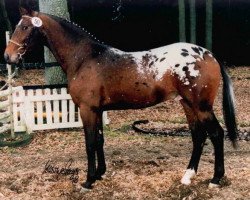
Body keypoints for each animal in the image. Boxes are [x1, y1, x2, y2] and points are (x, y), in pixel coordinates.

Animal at [4, 7, 238, 190]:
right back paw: (188, 176)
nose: (8, 56)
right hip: (188, 105)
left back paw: (215, 179)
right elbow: (99, 140)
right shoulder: (97, 110)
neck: (85, 58)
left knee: (216, 134)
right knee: (198, 137)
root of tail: (208, 55)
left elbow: (90, 143)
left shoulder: (87, 109)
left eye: (25, 28)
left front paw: (88, 181)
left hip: (201, 106)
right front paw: (100, 173)